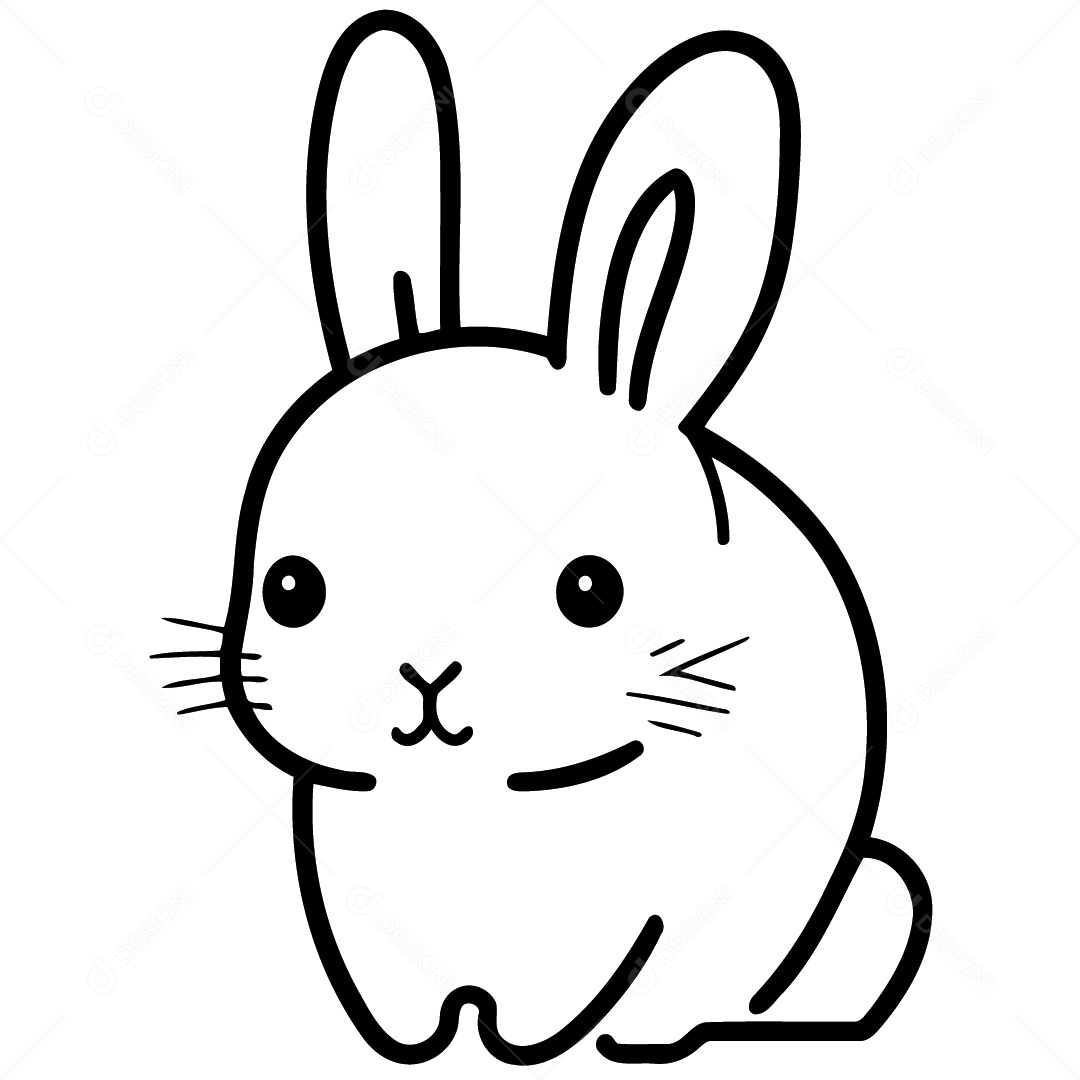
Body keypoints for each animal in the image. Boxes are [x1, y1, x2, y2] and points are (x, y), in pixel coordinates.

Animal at [155, 10, 931, 1065]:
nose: (424, 674)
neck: (481, 804)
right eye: (291, 590)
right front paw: (428, 1041)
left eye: (591, 591)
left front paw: (520, 1044)